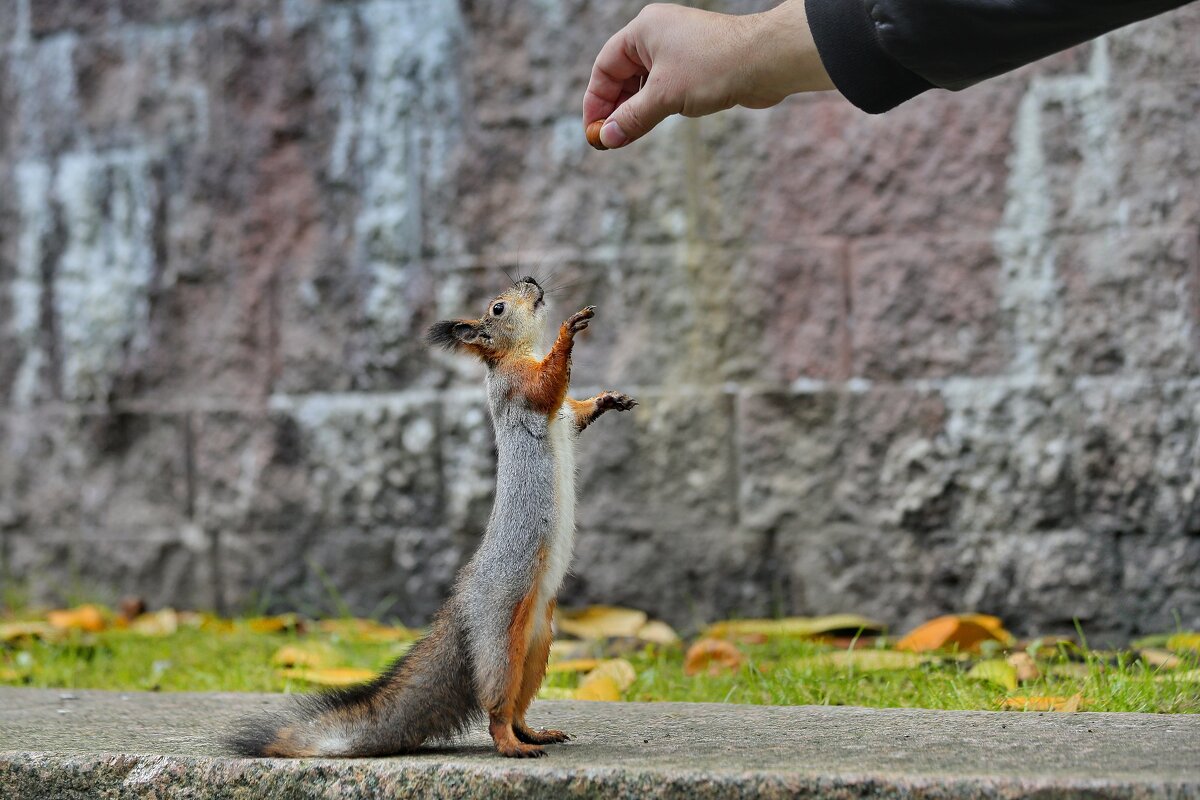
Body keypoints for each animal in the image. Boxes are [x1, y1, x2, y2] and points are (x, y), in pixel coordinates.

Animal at [226, 278, 638, 762]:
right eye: (498, 308)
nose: (532, 282)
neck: (515, 352)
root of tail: (463, 606)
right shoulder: (517, 389)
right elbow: (546, 383)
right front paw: (568, 331)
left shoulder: (564, 415)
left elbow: (575, 412)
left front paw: (608, 399)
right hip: (502, 630)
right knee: (496, 706)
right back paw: (511, 745)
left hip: (538, 644)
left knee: (517, 701)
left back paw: (533, 734)